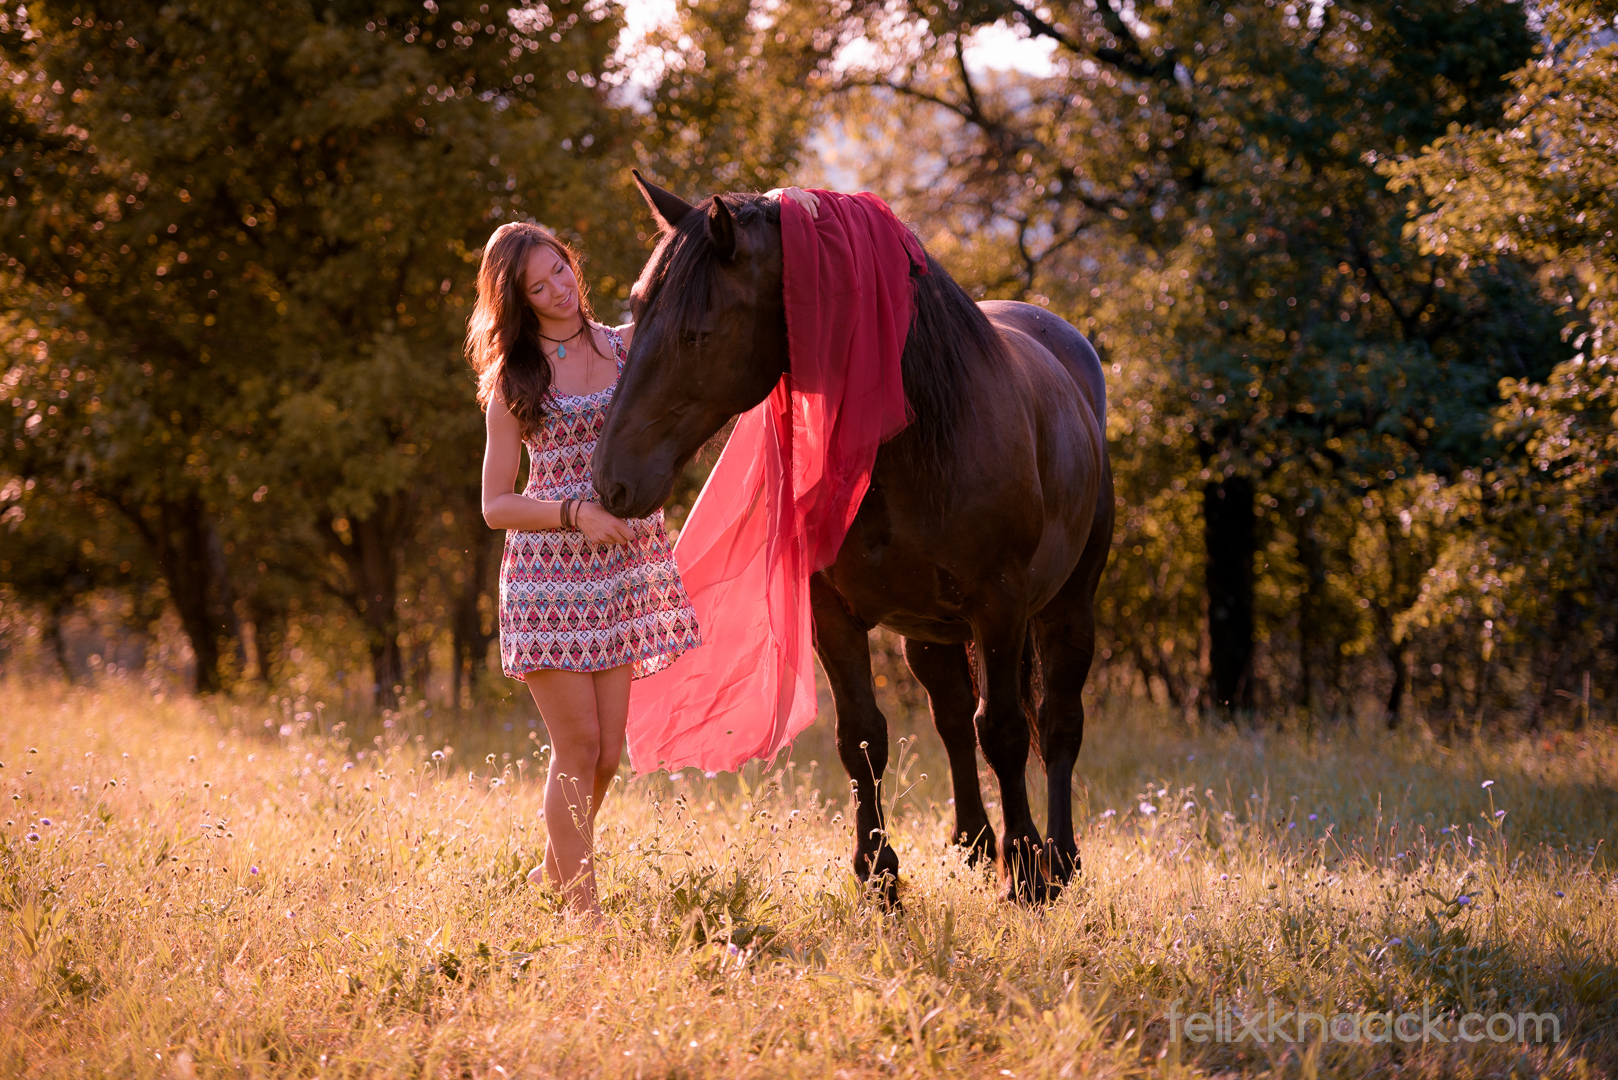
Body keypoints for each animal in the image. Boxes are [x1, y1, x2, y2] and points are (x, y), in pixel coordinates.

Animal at [595, 179, 1113, 906]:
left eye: (697, 334)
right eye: (636, 315)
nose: (610, 480)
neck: (915, 435)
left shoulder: (1001, 607)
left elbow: (1007, 730)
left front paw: (1026, 869)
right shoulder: (832, 610)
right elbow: (862, 735)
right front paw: (878, 873)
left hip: (1068, 605)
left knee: (1057, 719)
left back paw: (1058, 856)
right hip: (929, 631)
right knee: (952, 715)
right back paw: (975, 842)